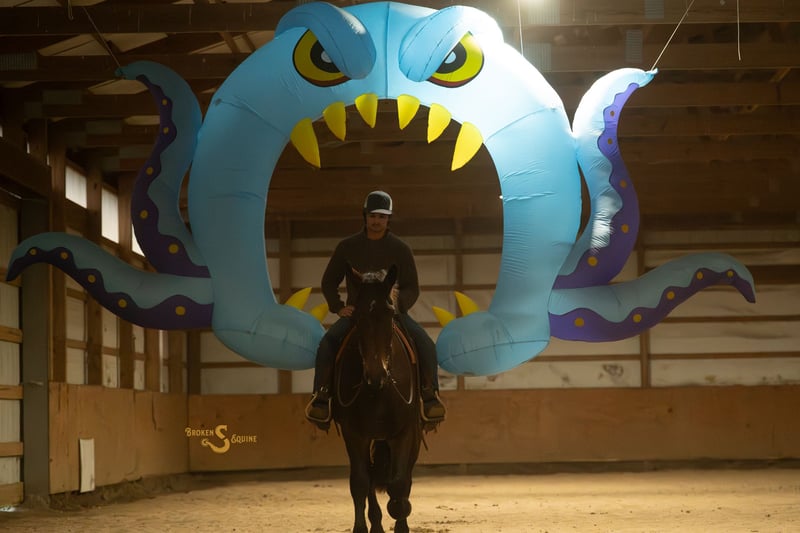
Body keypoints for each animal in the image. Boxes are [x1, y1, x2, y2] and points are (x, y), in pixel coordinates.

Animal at [332, 265, 423, 533]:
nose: (376, 375)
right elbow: (361, 482)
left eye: (390, 313)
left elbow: (400, 482)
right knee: (370, 478)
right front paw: (363, 527)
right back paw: (376, 523)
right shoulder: (355, 434)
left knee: (404, 477)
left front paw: (401, 516)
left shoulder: (405, 433)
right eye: (357, 316)